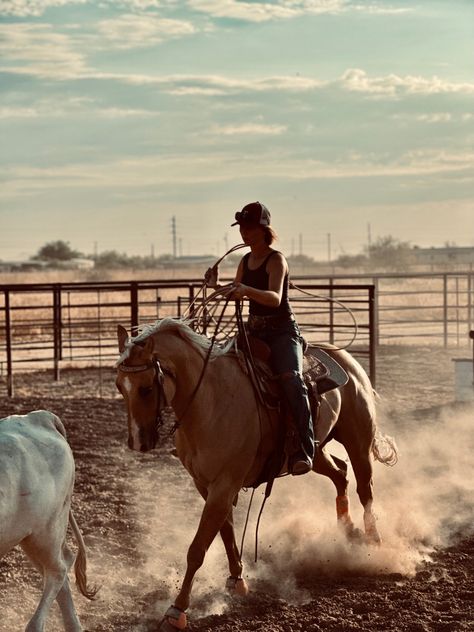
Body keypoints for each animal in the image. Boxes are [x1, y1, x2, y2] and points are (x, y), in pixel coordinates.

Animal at [0, 410, 96, 632]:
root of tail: (38, 417)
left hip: (45, 533)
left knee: (58, 570)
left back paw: (35, 626)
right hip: (28, 536)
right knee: (61, 568)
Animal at [115, 318, 396, 628]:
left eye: (146, 388)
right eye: (119, 386)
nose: (137, 442)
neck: (210, 400)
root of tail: (347, 359)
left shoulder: (225, 484)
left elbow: (197, 549)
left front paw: (177, 610)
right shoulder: (205, 485)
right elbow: (226, 533)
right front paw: (237, 581)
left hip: (358, 440)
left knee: (364, 487)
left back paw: (373, 542)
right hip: (314, 450)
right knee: (340, 474)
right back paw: (345, 532)